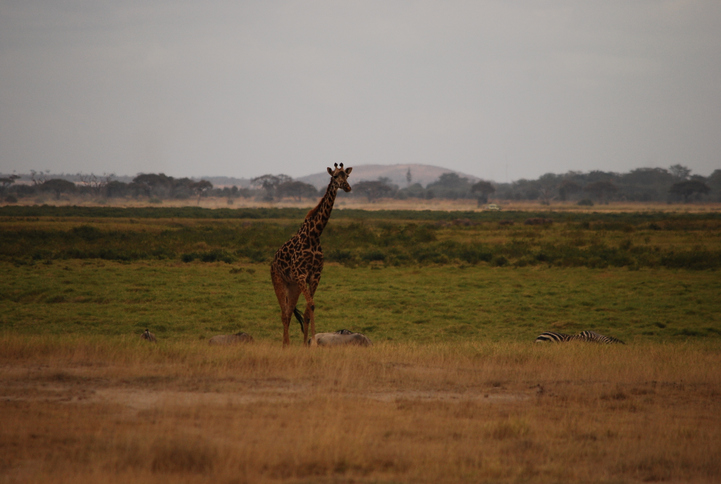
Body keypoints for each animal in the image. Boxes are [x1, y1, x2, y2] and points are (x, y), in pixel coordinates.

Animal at [270, 163, 353, 346]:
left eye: (347, 176)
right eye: (335, 176)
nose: (347, 187)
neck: (314, 235)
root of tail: (272, 262)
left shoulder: (315, 275)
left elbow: (309, 310)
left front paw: (307, 344)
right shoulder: (302, 275)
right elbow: (311, 305)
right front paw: (313, 343)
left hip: (293, 286)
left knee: (288, 313)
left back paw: (287, 345)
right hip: (279, 282)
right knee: (284, 314)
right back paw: (285, 345)